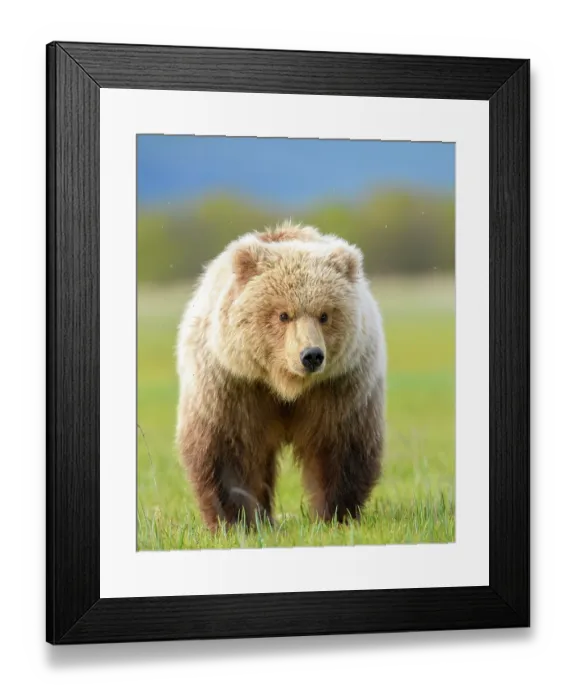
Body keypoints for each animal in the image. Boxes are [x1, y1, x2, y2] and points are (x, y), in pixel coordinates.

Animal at [175, 221, 386, 531]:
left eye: (325, 315)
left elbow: (339, 444)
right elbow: (226, 449)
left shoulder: (339, 385)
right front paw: (235, 521)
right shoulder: (232, 384)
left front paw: (334, 515)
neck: (284, 385)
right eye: (283, 315)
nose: (311, 355)